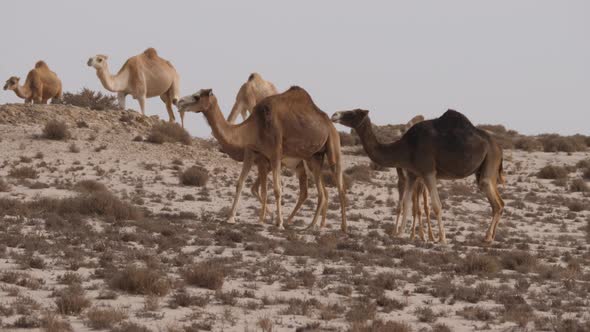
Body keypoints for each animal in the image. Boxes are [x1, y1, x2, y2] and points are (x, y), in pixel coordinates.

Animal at [178, 87, 350, 232]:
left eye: (197, 96)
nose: (179, 102)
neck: (252, 127)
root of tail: (329, 123)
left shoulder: (274, 154)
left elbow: (276, 189)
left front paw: (278, 223)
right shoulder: (253, 153)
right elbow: (243, 184)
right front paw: (233, 218)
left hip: (332, 145)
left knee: (339, 187)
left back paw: (341, 227)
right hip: (313, 158)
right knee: (321, 192)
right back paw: (312, 225)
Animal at [336, 109, 506, 244]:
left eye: (353, 112)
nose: (335, 115)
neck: (406, 146)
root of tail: (499, 147)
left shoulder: (428, 170)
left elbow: (436, 205)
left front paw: (442, 238)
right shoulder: (413, 173)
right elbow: (406, 203)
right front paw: (400, 234)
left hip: (491, 158)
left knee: (493, 198)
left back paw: (487, 238)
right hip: (485, 168)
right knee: (499, 202)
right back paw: (490, 237)